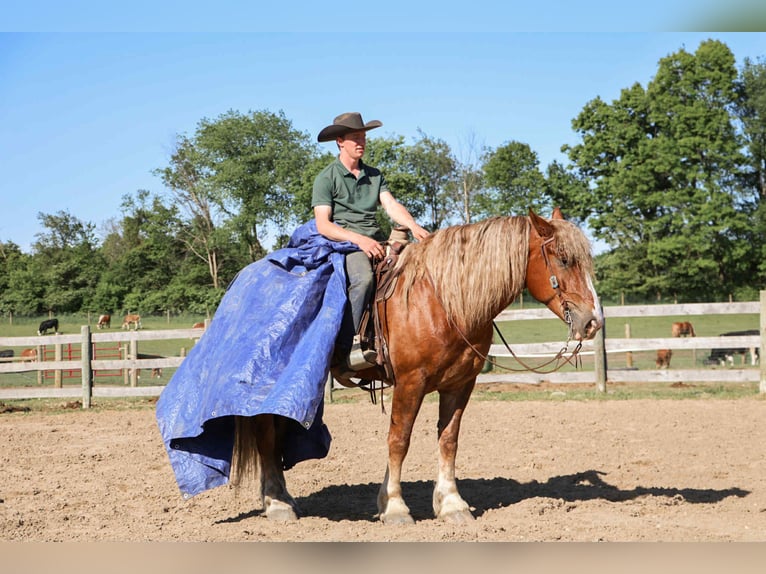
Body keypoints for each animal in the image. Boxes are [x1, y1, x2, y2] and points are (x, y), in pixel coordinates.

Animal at [230, 209, 602, 523]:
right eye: (564, 259)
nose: (593, 322)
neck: (444, 301)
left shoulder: (460, 384)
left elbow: (448, 440)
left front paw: (451, 504)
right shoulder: (411, 382)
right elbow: (399, 440)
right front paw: (395, 507)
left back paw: (279, 499)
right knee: (266, 436)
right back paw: (277, 504)